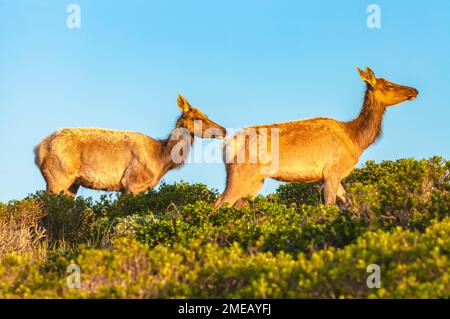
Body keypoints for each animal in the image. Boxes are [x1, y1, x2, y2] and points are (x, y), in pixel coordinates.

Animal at [33, 94, 227, 196]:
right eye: (197, 118)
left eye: (206, 114)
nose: (224, 130)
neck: (161, 159)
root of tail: (38, 150)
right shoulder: (131, 183)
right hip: (57, 178)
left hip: (72, 184)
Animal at [214, 67, 418, 210]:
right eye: (389, 85)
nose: (414, 90)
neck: (356, 140)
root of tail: (226, 145)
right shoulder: (332, 171)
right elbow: (330, 205)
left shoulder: (333, 175)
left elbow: (347, 200)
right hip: (240, 174)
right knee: (218, 203)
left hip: (256, 181)